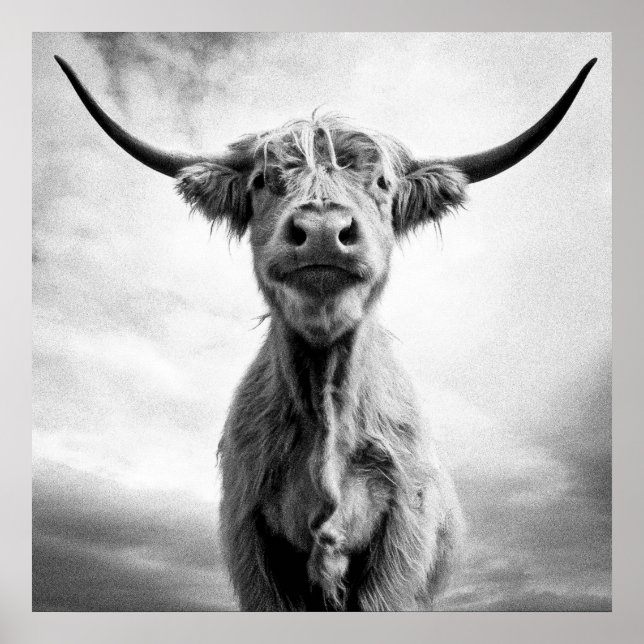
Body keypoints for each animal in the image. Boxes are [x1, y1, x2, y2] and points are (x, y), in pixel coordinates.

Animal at [55, 55, 596, 611]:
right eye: (262, 181)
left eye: (382, 182)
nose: (321, 231)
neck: (326, 403)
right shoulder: (252, 542)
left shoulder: (400, 545)